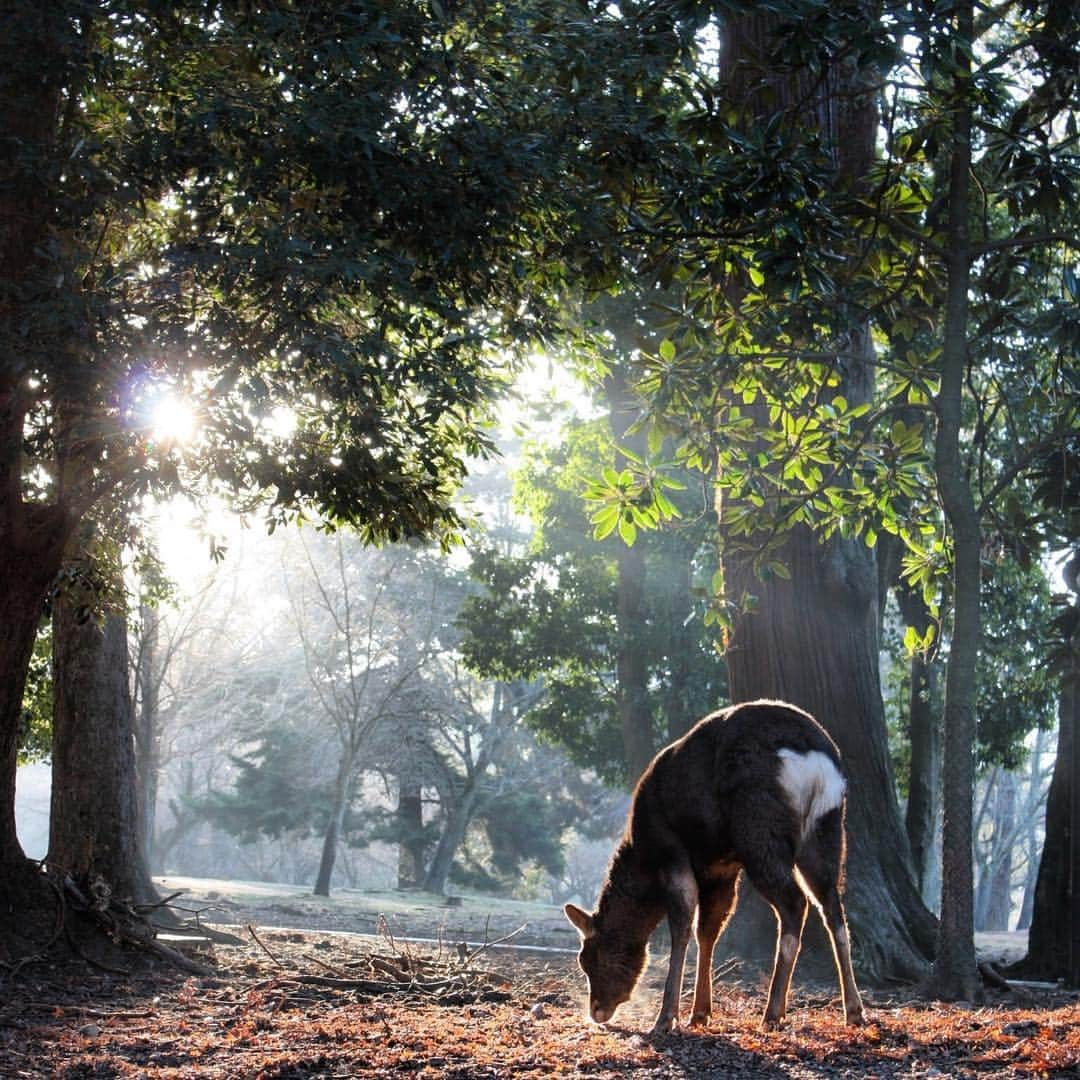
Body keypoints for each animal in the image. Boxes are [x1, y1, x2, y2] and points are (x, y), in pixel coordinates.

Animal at [561, 695, 864, 1032]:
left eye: (590, 959)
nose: (596, 1010)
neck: (642, 856)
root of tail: (812, 759)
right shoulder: (721, 869)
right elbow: (707, 930)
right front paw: (700, 1013)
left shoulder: (673, 853)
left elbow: (682, 924)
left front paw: (666, 1017)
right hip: (826, 830)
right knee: (832, 906)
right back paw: (854, 1010)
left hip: (758, 830)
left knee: (795, 902)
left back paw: (772, 1011)